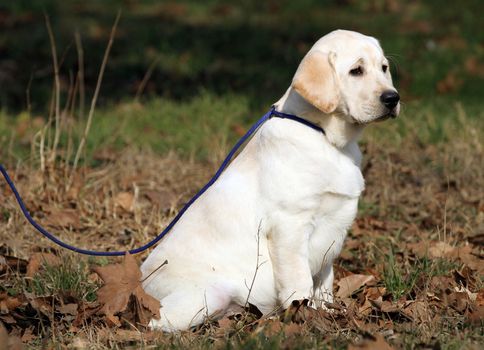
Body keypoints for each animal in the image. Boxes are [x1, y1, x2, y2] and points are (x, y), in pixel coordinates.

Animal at [141, 29, 400, 330]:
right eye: (356, 71)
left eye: (384, 68)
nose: (393, 98)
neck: (326, 136)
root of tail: (142, 283)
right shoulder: (290, 225)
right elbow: (299, 280)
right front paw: (306, 317)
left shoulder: (334, 226)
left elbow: (324, 280)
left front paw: (327, 311)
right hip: (203, 296)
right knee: (156, 323)